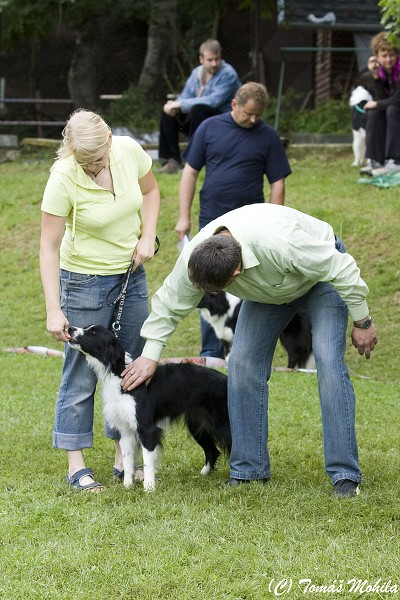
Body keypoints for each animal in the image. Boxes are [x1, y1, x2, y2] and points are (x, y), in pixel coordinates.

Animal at [68, 326, 231, 490]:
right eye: (87, 328)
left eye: (93, 333)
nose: (70, 328)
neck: (119, 374)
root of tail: (226, 381)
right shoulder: (125, 430)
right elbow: (127, 460)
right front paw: (128, 485)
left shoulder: (147, 429)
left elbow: (148, 461)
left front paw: (149, 487)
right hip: (197, 425)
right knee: (213, 451)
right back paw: (203, 474)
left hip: (224, 424)